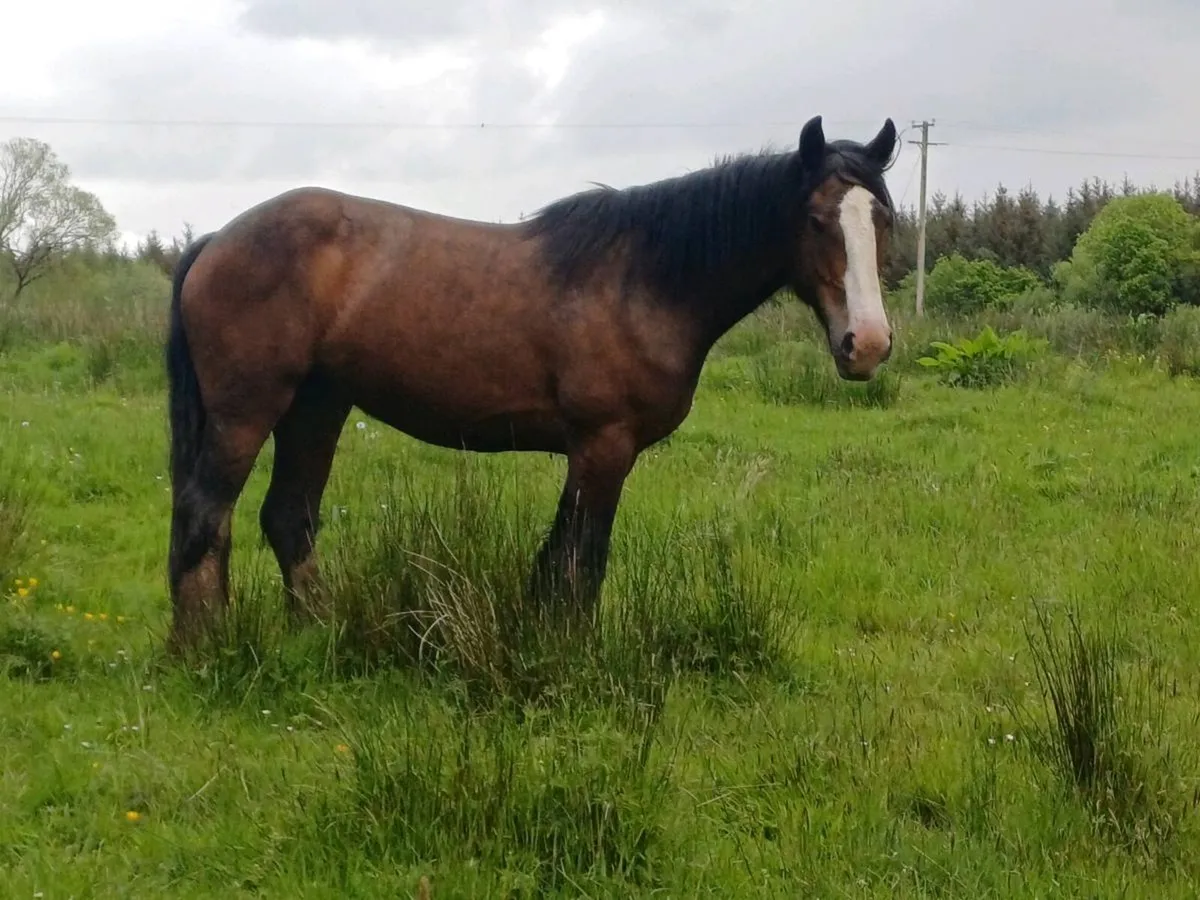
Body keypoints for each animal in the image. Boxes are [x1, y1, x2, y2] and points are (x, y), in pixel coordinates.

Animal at [164, 114, 899, 655]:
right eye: (815, 219)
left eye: (883, 219)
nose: (867, 345)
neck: (646, 280)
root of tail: (216, 240)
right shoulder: (604, 445)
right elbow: (581, 562)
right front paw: (573, 659)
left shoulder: (592, 452)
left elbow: (557, 561)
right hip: (248, 411)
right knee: (207, 512)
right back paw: (204, 647)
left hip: (317, 406)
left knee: (288, 516)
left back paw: (314, 634)